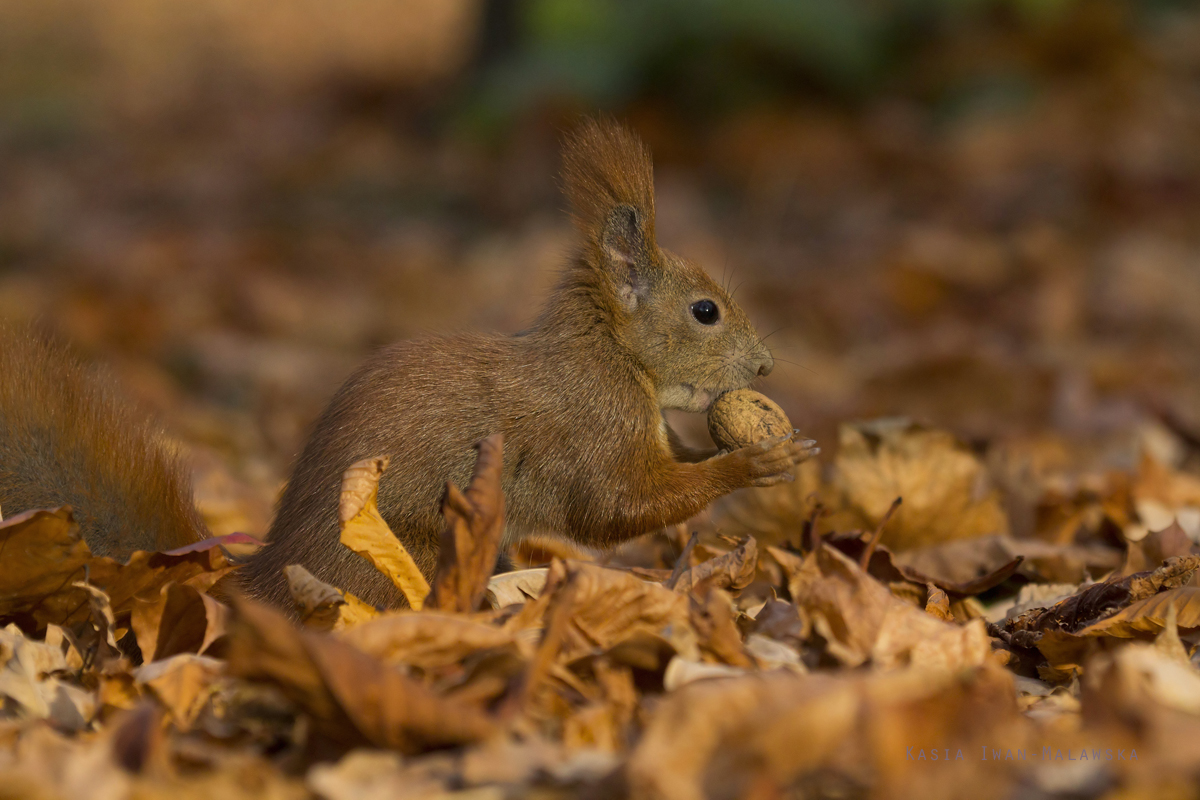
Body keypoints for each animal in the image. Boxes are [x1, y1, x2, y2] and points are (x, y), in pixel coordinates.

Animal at [0, 118, 816, 606]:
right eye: (705, 312)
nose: (768, 366)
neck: (613, 356)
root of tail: (261, 584)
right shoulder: (590, 426)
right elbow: (617, 506)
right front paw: (754, 463)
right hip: (412, 551)